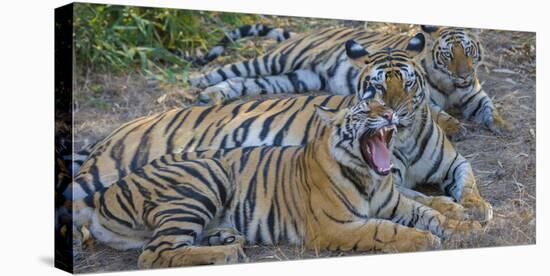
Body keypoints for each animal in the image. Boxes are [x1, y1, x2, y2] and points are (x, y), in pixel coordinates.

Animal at [66, 38, 496, 225]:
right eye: (376, 88)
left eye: (406, 84)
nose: (392, 113)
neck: (404, 136)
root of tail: (112, 132)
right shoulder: (389, 181)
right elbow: (423, 197)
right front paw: (454, 209)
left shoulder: (455, 162)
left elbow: (470, 181)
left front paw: (477, 206)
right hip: (101, 173)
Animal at [74, 100, 484, 268]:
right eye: (364, 110)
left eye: (384, 106)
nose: (390, 115)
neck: (369, 177)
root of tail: (100, 197)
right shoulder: (334, 227)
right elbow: (386, 230)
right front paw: (426, 241)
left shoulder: (398, 203)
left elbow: (432, 214)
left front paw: (467, 228)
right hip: (204, 174)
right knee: (154, 254)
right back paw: (228, 253)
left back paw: (227, 240)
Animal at [190, 24, 508, 134]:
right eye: (448, 55)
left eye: (469, 51)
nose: (464, 74)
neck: (450, 84)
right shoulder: (422, 100)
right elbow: (439, 113)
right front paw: (455, 127)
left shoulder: (475, 95)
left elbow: (489, 108)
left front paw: (502, 125)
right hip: (278, 59)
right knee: (235, 68)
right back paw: (200, 81)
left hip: (296, 78)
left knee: (243, 83)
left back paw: (213, 94)